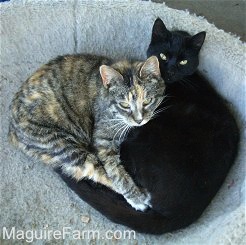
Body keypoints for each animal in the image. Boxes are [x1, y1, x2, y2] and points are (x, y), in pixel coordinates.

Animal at [8, 53, 165, 211]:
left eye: (147, 101)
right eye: (124, 105)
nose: (139, 120)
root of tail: (12, 130)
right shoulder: (103, 141)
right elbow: (116, 174)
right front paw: (136, 197)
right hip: (65, 146)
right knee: (96, 172)